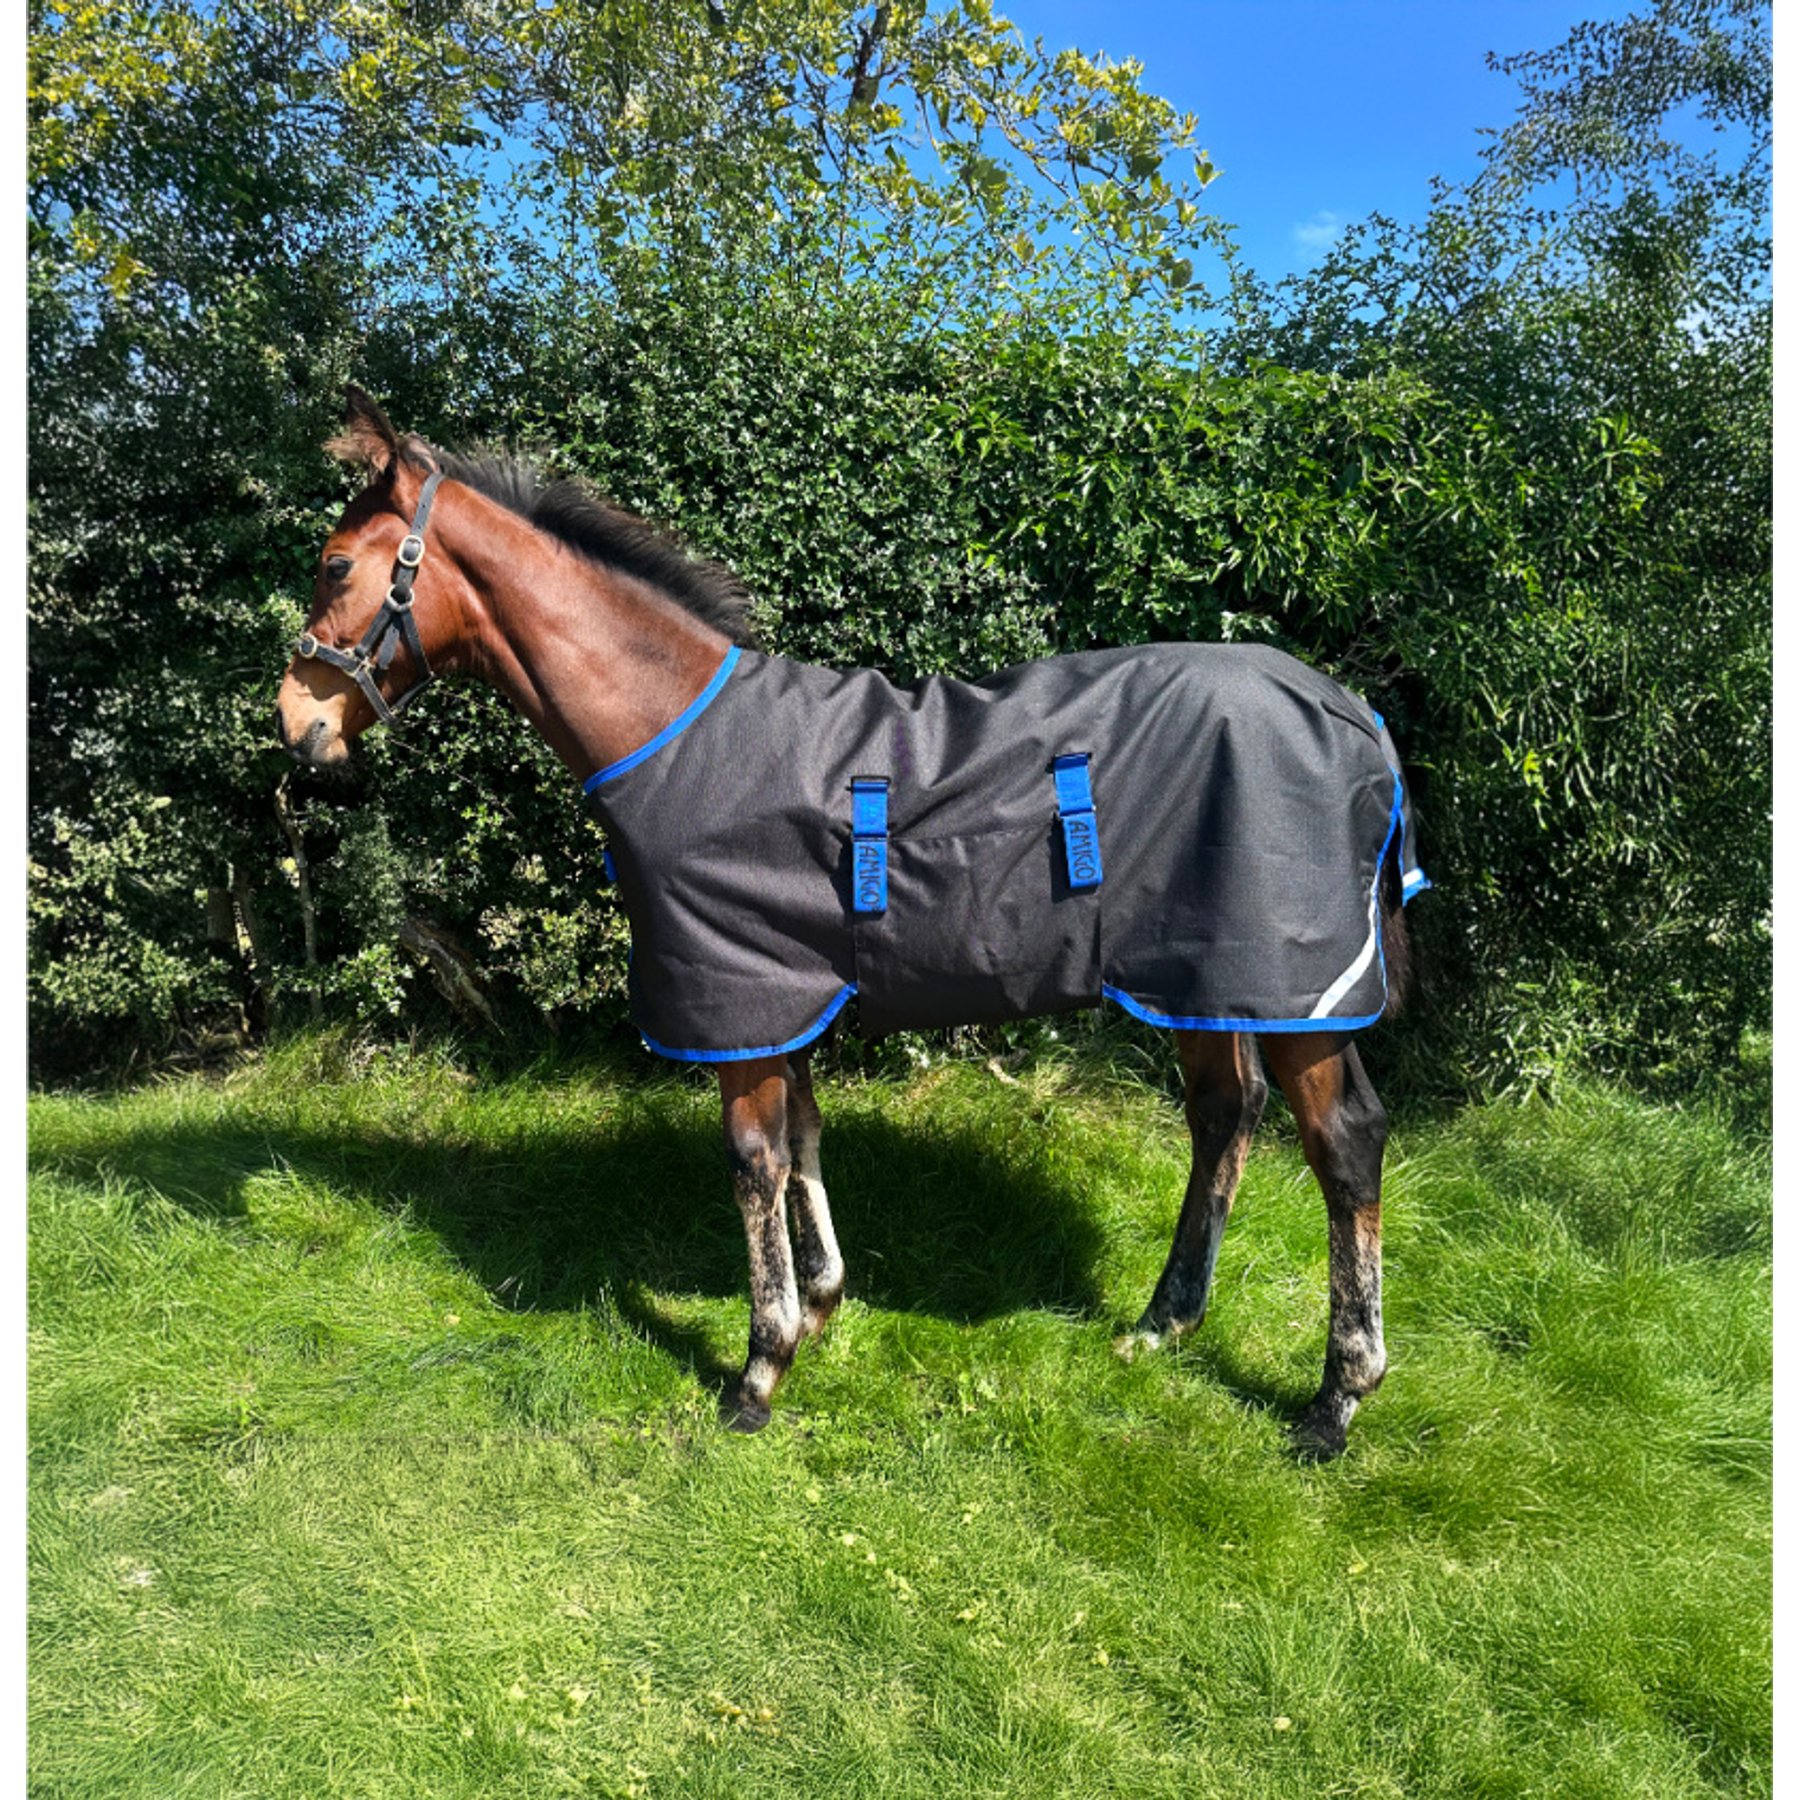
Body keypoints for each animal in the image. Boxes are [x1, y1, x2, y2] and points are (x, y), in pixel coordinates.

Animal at [275, 386, 1428, 1459]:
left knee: (1343, 1144)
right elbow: (803, 1134)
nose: (297, 725)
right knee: (1225, 1115)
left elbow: (753, 1161)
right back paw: (1163, 1324)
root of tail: (1354, 712)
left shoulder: (739, 998)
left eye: (334, 565)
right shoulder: (780, 992)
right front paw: (823, 1305)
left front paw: (760, 1367)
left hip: (1296, 990)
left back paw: (1337, 1398)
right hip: (1206, 979)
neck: (676, 730)